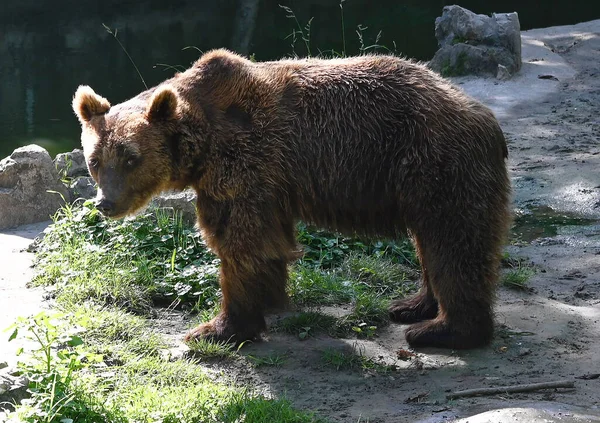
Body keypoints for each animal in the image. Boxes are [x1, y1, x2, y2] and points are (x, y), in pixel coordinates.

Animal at [71, 48, 510, 350]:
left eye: (131, 157)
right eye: (95, 160)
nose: (106, 203)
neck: (202, 145)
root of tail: (483, 115)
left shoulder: (245, 162)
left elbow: (240, 242)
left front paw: (217, 328)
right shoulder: (263, 183)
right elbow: (266, 242)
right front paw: (268, 299)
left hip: (435, 163)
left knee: (455, 241)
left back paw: (443, 330)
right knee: (431, 242)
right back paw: (413, 305)